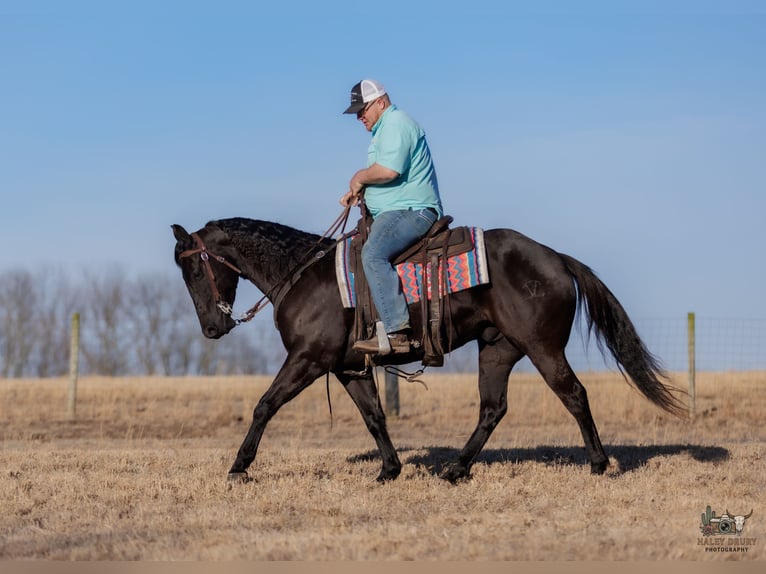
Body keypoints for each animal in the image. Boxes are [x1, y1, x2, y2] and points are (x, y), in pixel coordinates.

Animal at [172, 216, 686, 483]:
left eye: (194, 269)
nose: (212, 328)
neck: (304, 275)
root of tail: (556, 258)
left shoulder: (308, 360)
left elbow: (264, 405)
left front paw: (239, 466)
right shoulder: (349, 369)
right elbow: (375, 417)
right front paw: (389, 470)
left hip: (542, 348)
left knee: (574, 395)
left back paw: (598, 464)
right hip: (497, 351)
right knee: (492, 408)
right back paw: (456, 468)